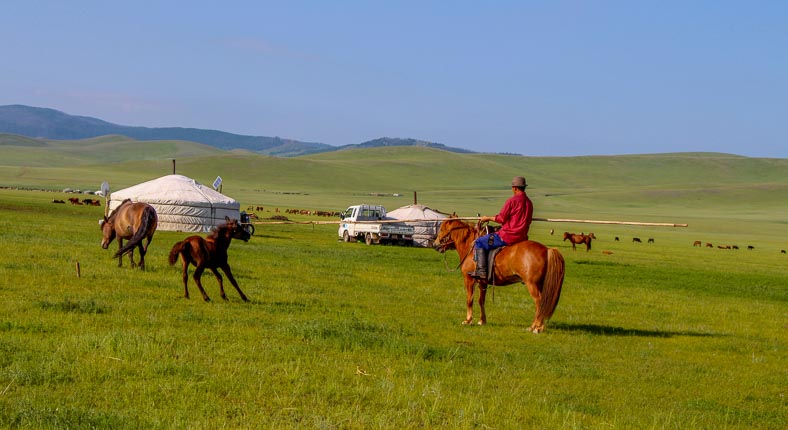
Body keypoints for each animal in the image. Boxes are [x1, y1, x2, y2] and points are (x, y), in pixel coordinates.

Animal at [434, 218, 564, 332]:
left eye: (442, 229)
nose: (435, 244)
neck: (470, 247)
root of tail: (547, 250)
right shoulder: (482, 282)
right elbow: (481, 300)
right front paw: (482, 321)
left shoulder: (469, 279)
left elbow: (469, 300)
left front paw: (468, 320)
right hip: (541, 284)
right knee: (544, 303)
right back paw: (537, 326)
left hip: (532, 284)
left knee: (539, 302)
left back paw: (535, 327)